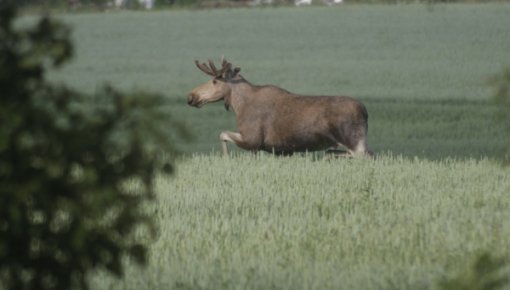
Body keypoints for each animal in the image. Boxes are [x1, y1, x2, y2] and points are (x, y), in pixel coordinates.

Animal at [187, 58, 370, 157]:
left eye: (215, 81)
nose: (191, 97)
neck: (238, 106)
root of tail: (365, 111)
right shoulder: (283, 150)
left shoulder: (252, 140)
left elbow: (222, 134)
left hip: (354, 141)